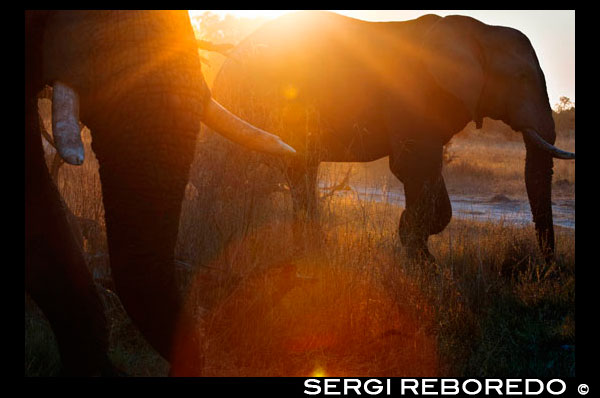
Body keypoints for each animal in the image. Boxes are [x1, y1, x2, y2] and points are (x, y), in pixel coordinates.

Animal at [212, 10, 576, 262]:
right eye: (521, 77)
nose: (547, 269)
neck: (477, 31)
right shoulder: (411, 94)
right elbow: (413, 166)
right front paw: (420, 258)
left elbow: (427, 174)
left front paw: (412, 245)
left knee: (300, 168)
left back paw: (309, 250)